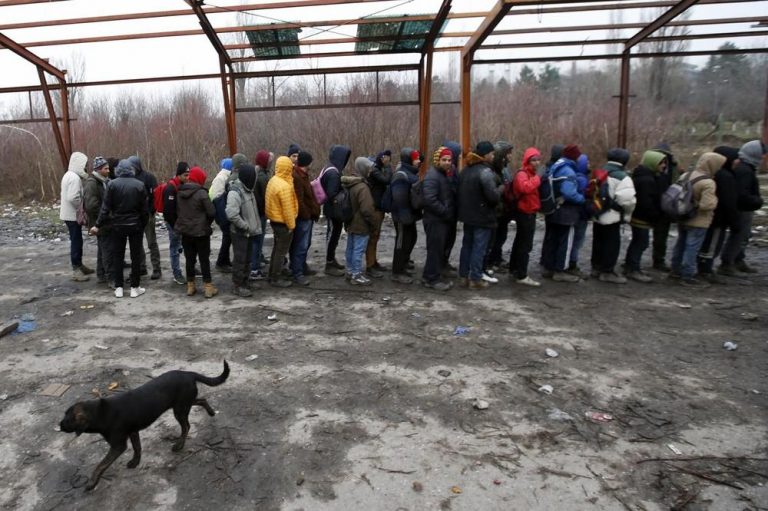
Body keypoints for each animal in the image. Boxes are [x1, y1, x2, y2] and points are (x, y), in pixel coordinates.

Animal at [59, 360, 228, 492]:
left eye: (67, 419)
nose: (59, 425)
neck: (100, 413)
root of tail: (188, 373)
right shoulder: (133, 432)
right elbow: (137, 447)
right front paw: (135, 462)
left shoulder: (118, 445)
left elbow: (101, 465)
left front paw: (92, 483)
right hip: (184, 403)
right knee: (202, 400)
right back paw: (211, 412)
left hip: (180, 409)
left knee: (186, 426)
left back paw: (179, 445)